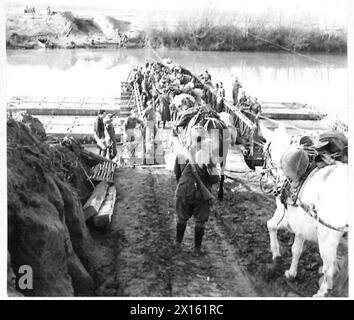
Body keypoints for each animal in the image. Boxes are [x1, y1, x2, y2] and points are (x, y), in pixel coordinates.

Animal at [260, 123, 348, 298]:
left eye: (265, 151)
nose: (264, 175)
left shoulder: (284, 214)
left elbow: (270, 225)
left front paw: (276, 255)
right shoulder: (301, 224)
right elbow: (296, 249)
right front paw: (291, 273)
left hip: (327, 238)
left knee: (330, 269)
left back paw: (321, 293)